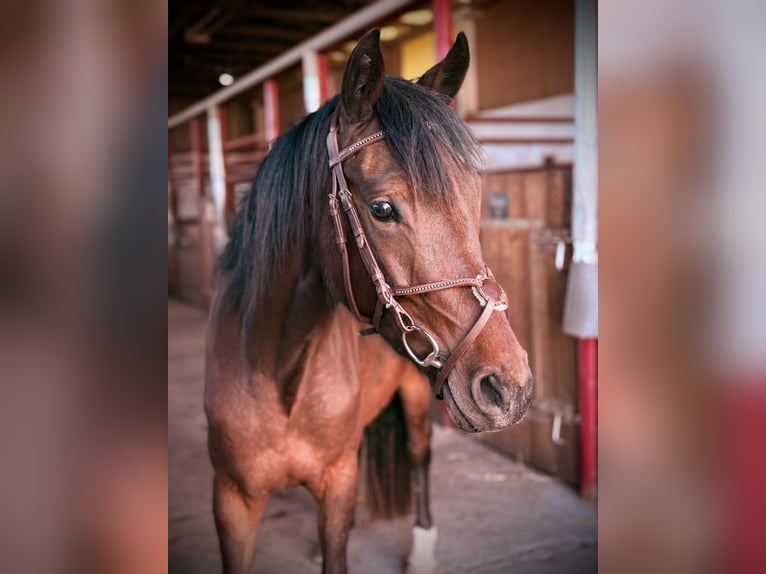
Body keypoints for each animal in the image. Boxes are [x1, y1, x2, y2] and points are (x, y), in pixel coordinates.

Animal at [204, 29, 533, 574]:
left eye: (474, 197)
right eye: (382, 209)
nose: (508, 389)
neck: (275, 369)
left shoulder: (336, 483)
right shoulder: (232, 499)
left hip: (418, 396)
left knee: (420, 454)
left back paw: (422, 547)